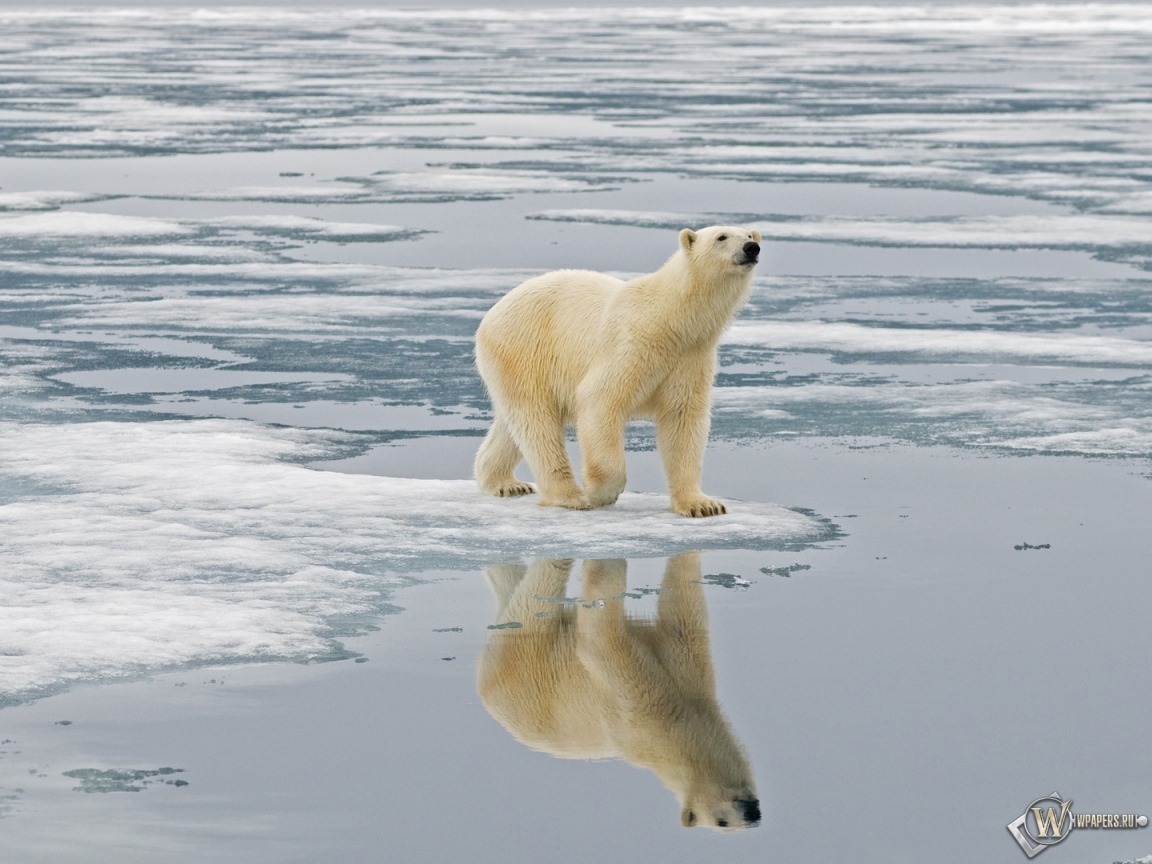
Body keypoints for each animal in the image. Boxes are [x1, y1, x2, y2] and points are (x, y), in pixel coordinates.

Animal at [472, 226, 760, 518]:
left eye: (749, 235)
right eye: (722, 237)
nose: (751, 248)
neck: (672, 319)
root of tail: (492, 314)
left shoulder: (691, 357)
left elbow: (683, 420)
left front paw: (702, 504)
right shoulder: (632, 344)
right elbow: (599, 400)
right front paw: (600, 494)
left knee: (513, 425)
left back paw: (506, 483)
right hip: (524, 349)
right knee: (537, 423)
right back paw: (570, 496)